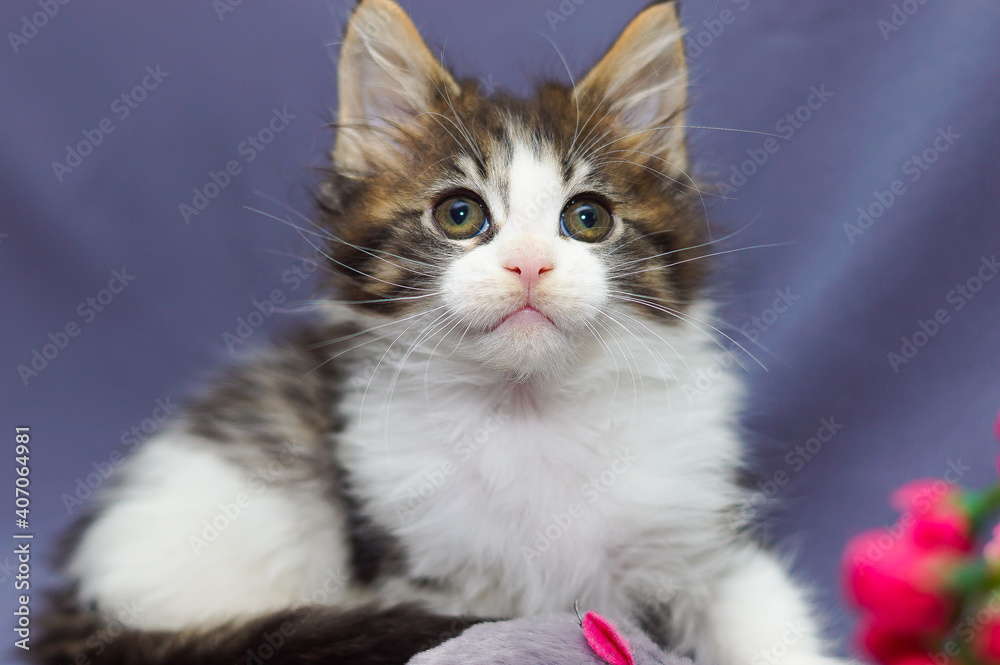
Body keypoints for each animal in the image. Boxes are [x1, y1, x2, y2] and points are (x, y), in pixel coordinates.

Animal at [35, 1, 840, 664]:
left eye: (588, 218)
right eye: (460, 215)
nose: (530, 263)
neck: (529, 412)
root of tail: (77, 599)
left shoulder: (709, 535)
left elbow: (769, 622)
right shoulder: (419, 570)